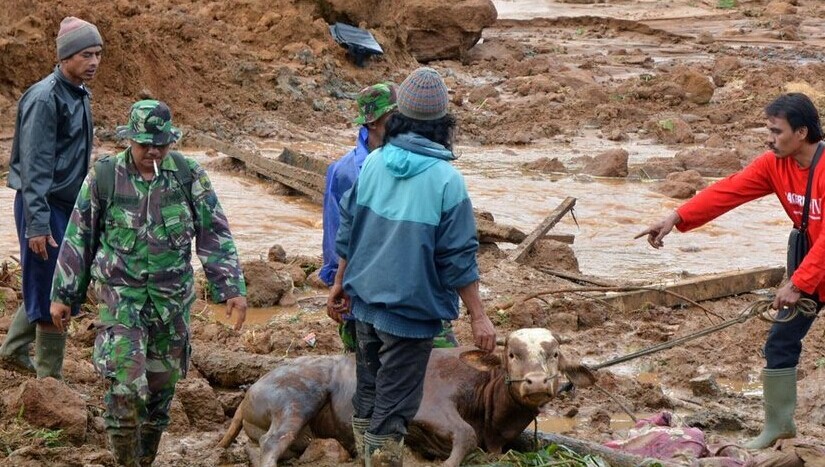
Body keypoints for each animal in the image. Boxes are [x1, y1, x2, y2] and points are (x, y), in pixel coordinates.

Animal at [218, 328, 595, 467]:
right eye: (512, 355)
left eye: (555, 354)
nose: (535, 382)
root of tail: (253, 389)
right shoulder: (430, 408)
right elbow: (465, 434)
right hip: (296, 401)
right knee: (271, 444)